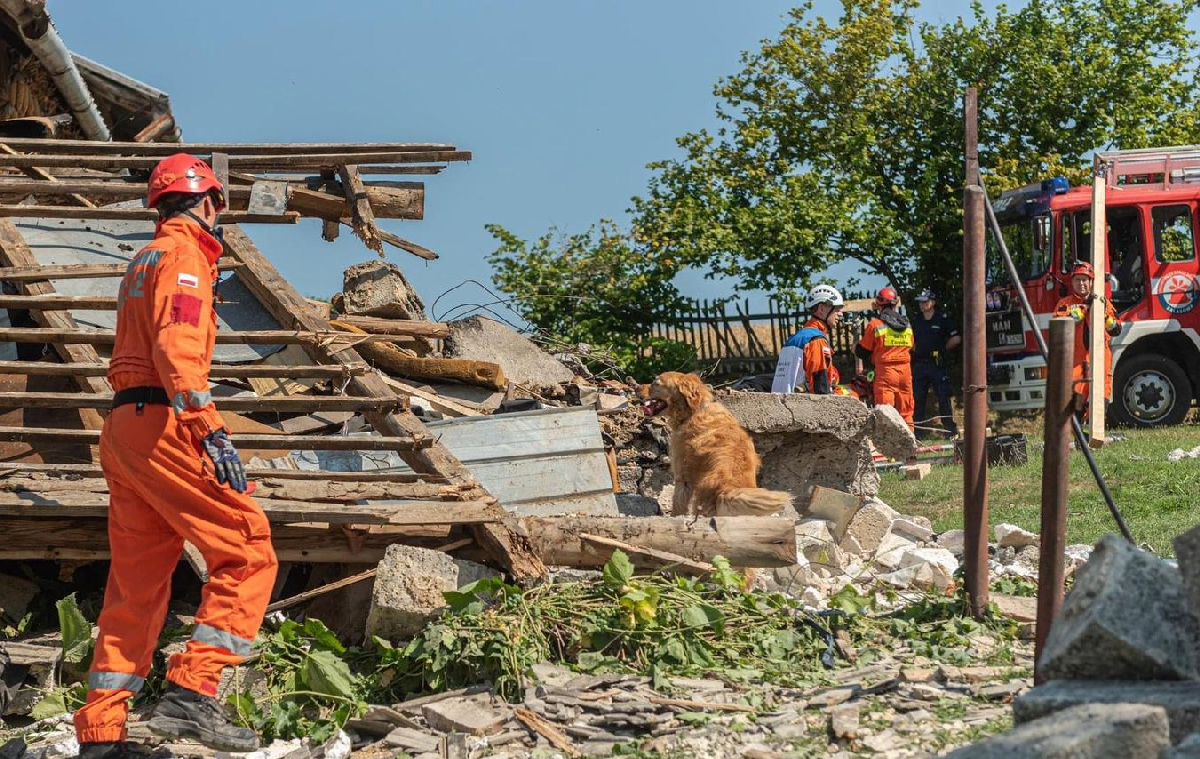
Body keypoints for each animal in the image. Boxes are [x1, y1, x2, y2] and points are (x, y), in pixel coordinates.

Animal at [643, 372, 792, 518]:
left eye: (656, 383)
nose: (637, 387)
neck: (695, 411)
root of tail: (727, 490)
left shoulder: (682, 479)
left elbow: (678, 507)